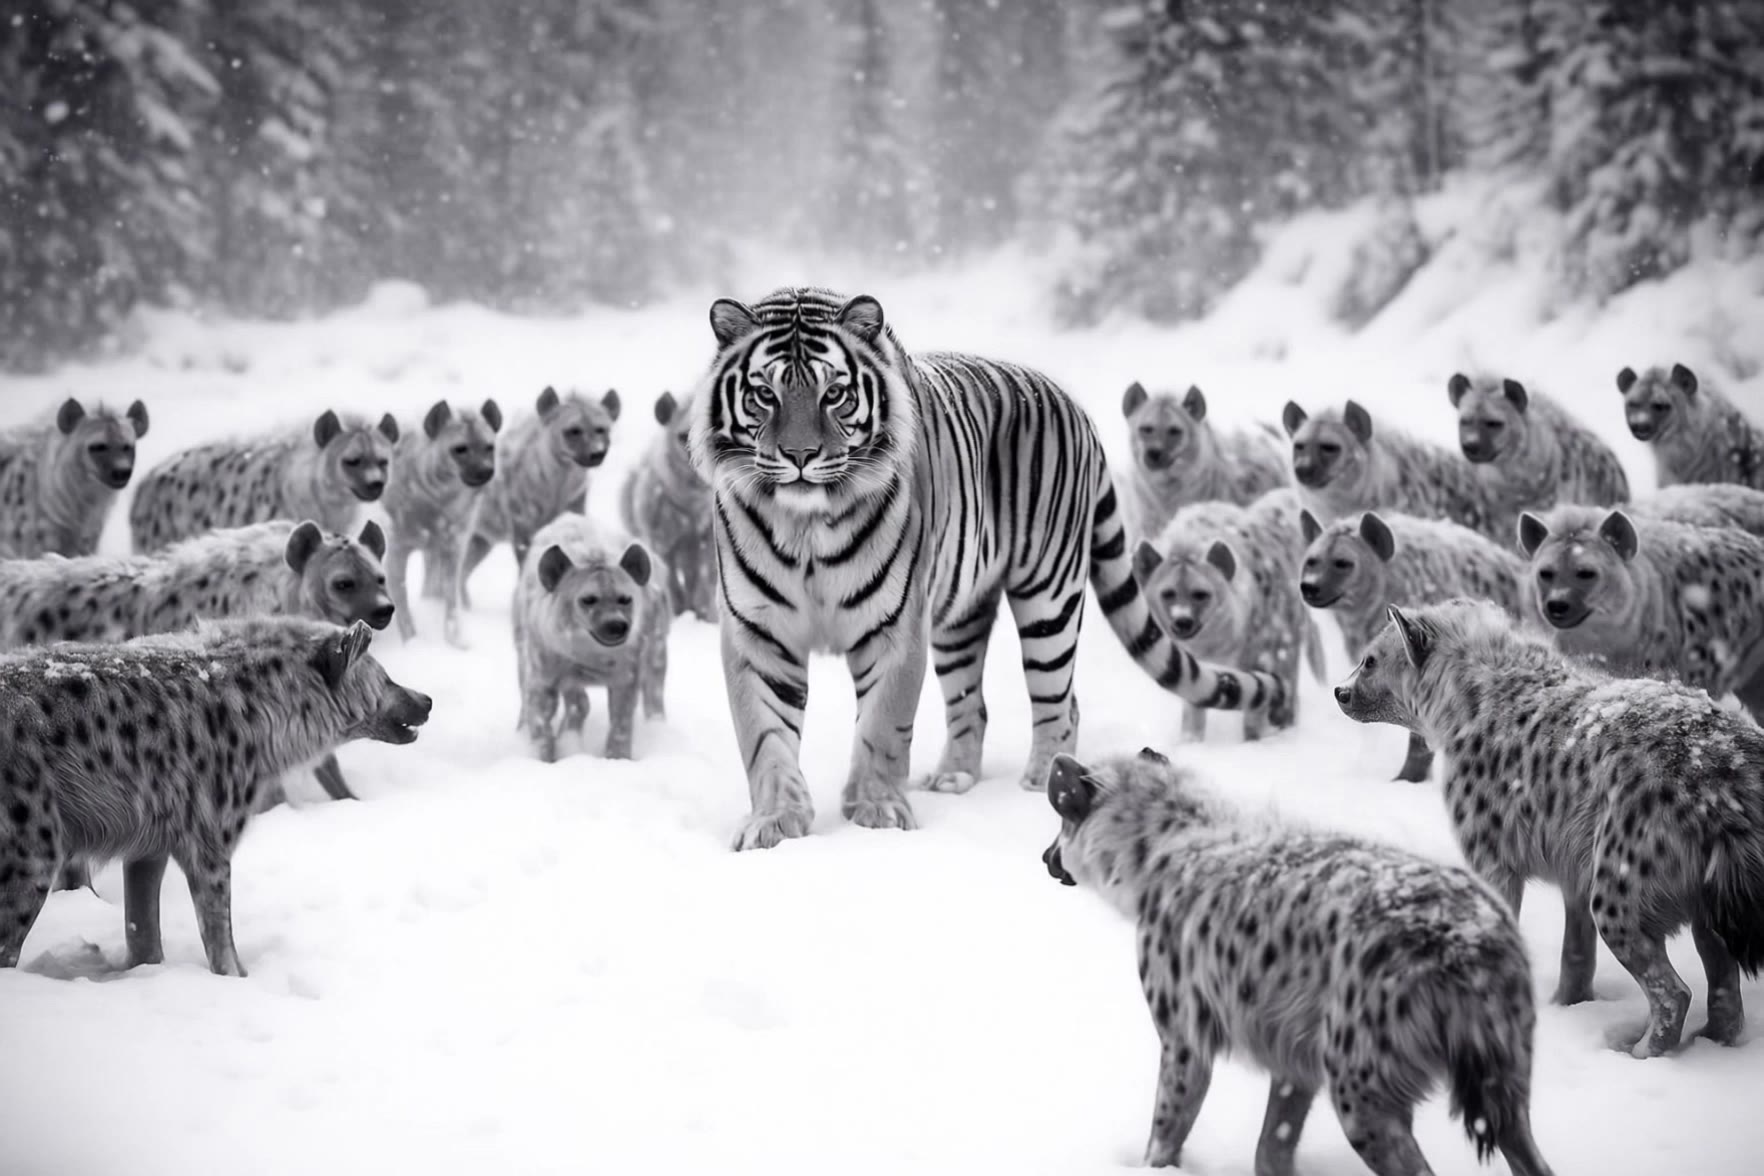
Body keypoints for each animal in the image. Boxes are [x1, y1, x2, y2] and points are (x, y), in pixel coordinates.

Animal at [690, 287, 1287, 851]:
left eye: (833, 393)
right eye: (764, 394)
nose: (799, 456)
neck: (806, 525)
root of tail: (1074, 405)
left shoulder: (896, 626)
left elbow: (883, 727)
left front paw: (877, 814)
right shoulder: (757, 631)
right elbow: (765, 736)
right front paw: (774, 823)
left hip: (1049, 599)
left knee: (1061, 702)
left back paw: (1039, 782)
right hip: (961, 618)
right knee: (971, 705)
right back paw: (953, 778)